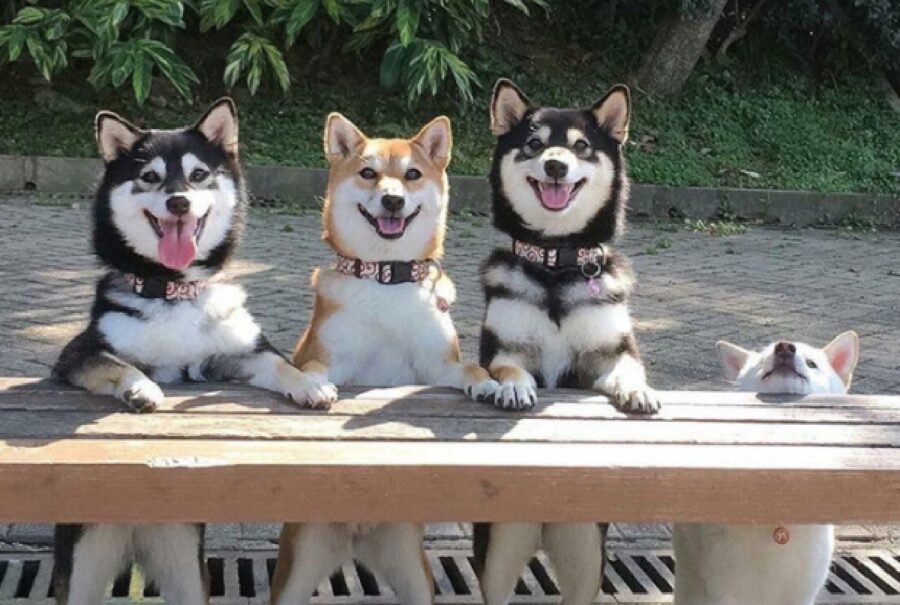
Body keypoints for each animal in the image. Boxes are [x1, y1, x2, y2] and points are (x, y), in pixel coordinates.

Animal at [50, 99, 338, 604]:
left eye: (198, 175)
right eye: (149, 177)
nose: (178, 202)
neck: (173, 289)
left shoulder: (238, 354)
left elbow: (280, 364)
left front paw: (309, 385)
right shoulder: (78, 354)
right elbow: (119, 364)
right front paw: (142, 389)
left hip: (184, 565)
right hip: (84, 564)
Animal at [474, 79, 656, 604]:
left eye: (580, 147)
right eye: (534, 145)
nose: (556, 165)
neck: (557, 261)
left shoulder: (608, 354)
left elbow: (629, 368)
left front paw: (637, 391)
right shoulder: (503, 349)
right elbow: (509, 368)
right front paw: (515, 388)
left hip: (586, 555)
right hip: (500, 551)